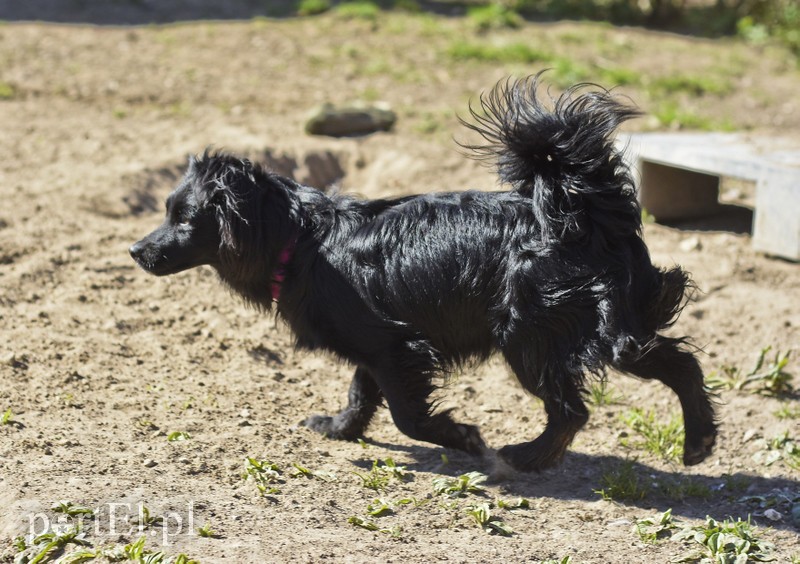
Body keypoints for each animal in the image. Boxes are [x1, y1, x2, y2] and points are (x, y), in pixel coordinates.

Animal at [131, 76, 720, 472]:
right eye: (165, 210)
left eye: (183, 220)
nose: (136, 251)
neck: (301, 242)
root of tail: (582, 213)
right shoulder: (377, 345)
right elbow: (360, 395)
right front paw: (337, 428)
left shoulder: (397, 347)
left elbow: (406, 417)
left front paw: (462, 437)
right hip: (602, 326)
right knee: (674, 361)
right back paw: (698, 443)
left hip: (528, 334)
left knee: (571, 408)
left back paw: (527, 458)